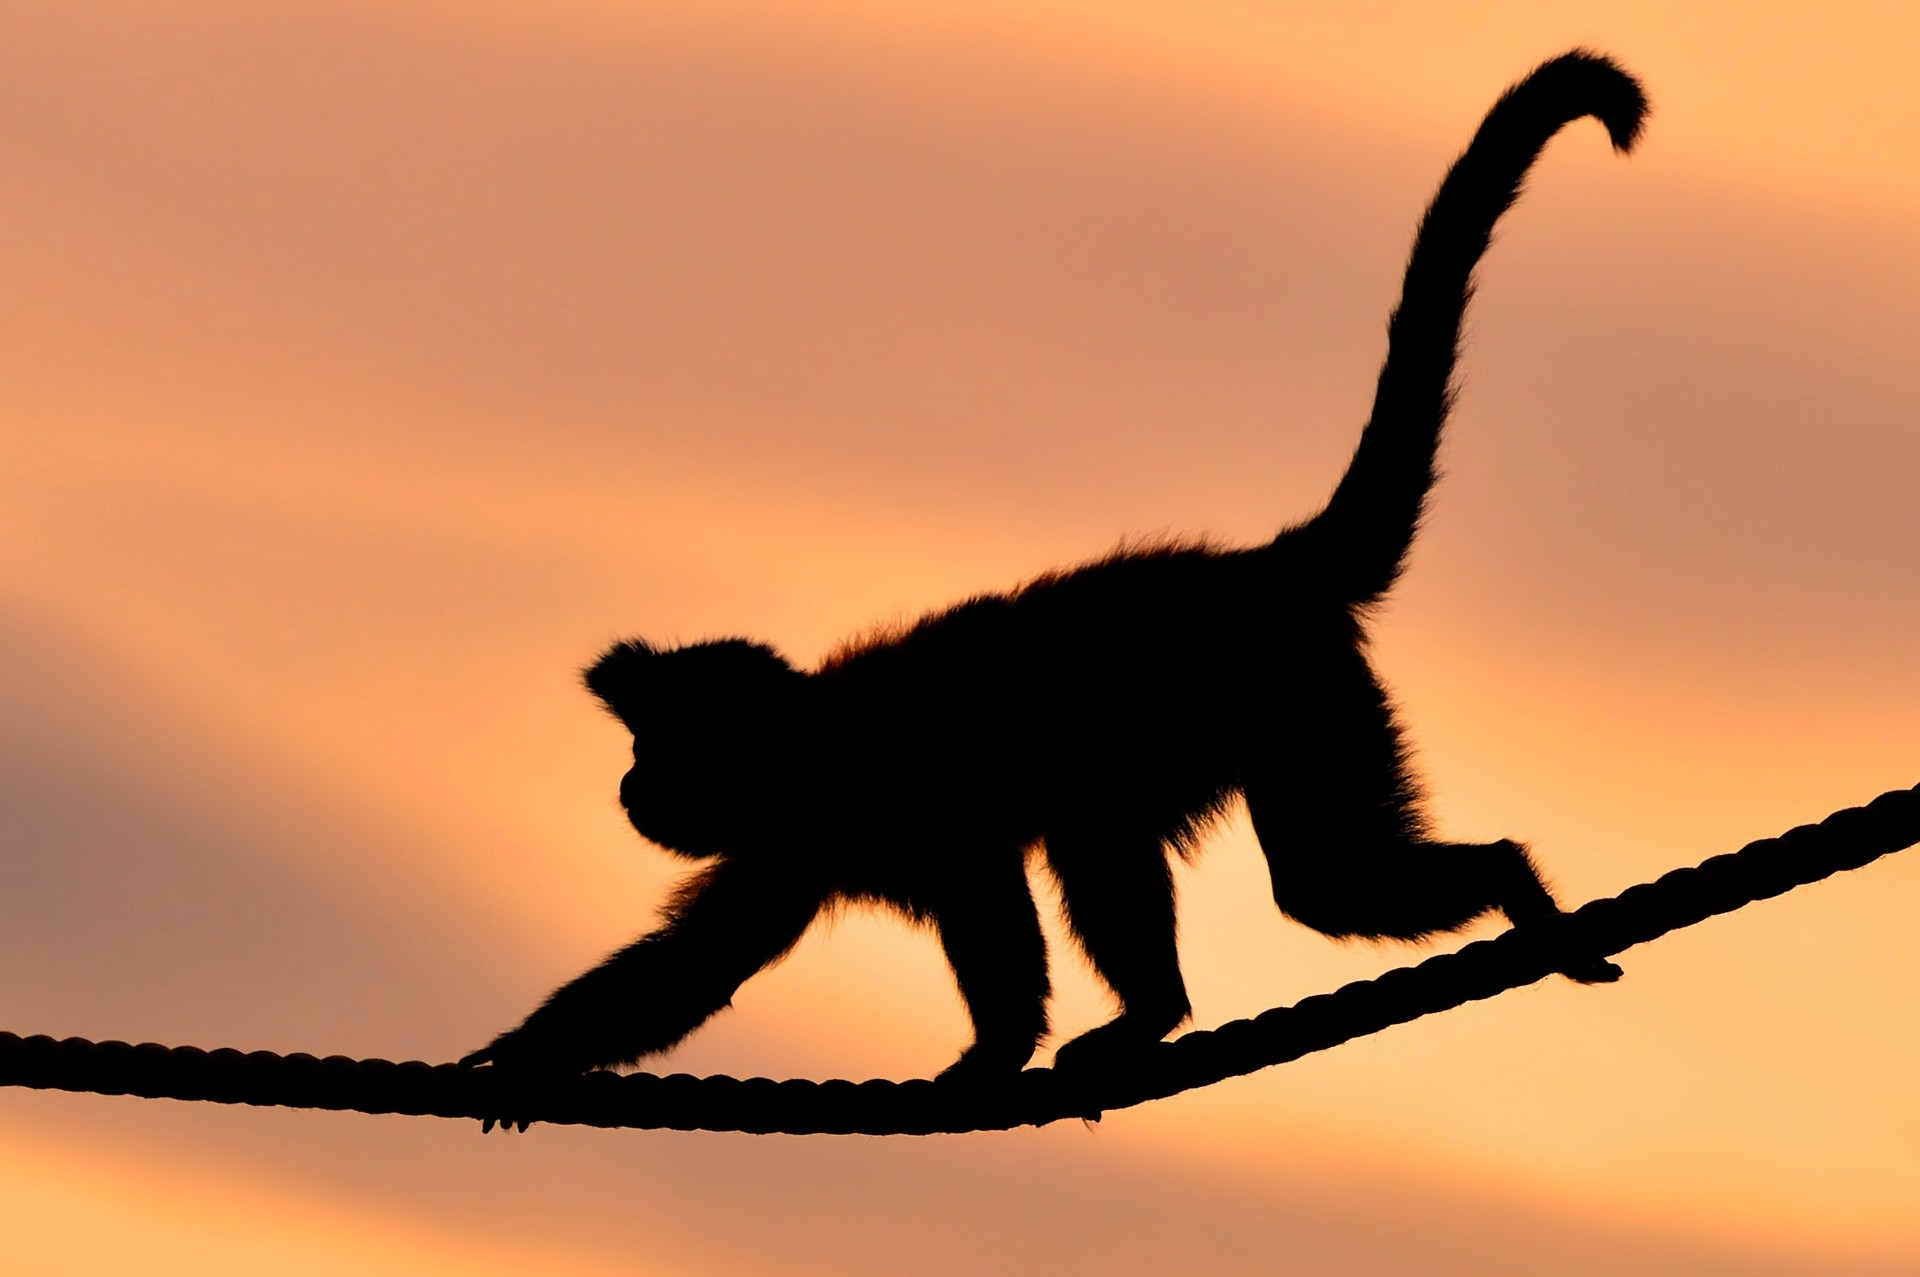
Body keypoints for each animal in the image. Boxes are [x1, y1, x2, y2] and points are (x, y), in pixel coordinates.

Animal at [461, 50, 1646, 1089]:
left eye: (653, 750)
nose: (627, 784)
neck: (810, 744)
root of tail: (1263, 568)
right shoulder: (799, 834)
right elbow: (699, 965)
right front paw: (514, 1062)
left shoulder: (895, 782)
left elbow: (985, 880)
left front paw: (1000, 1047)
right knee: (1278, 865)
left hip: (1290, 688)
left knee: (1208, 849)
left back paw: (1465, 894)